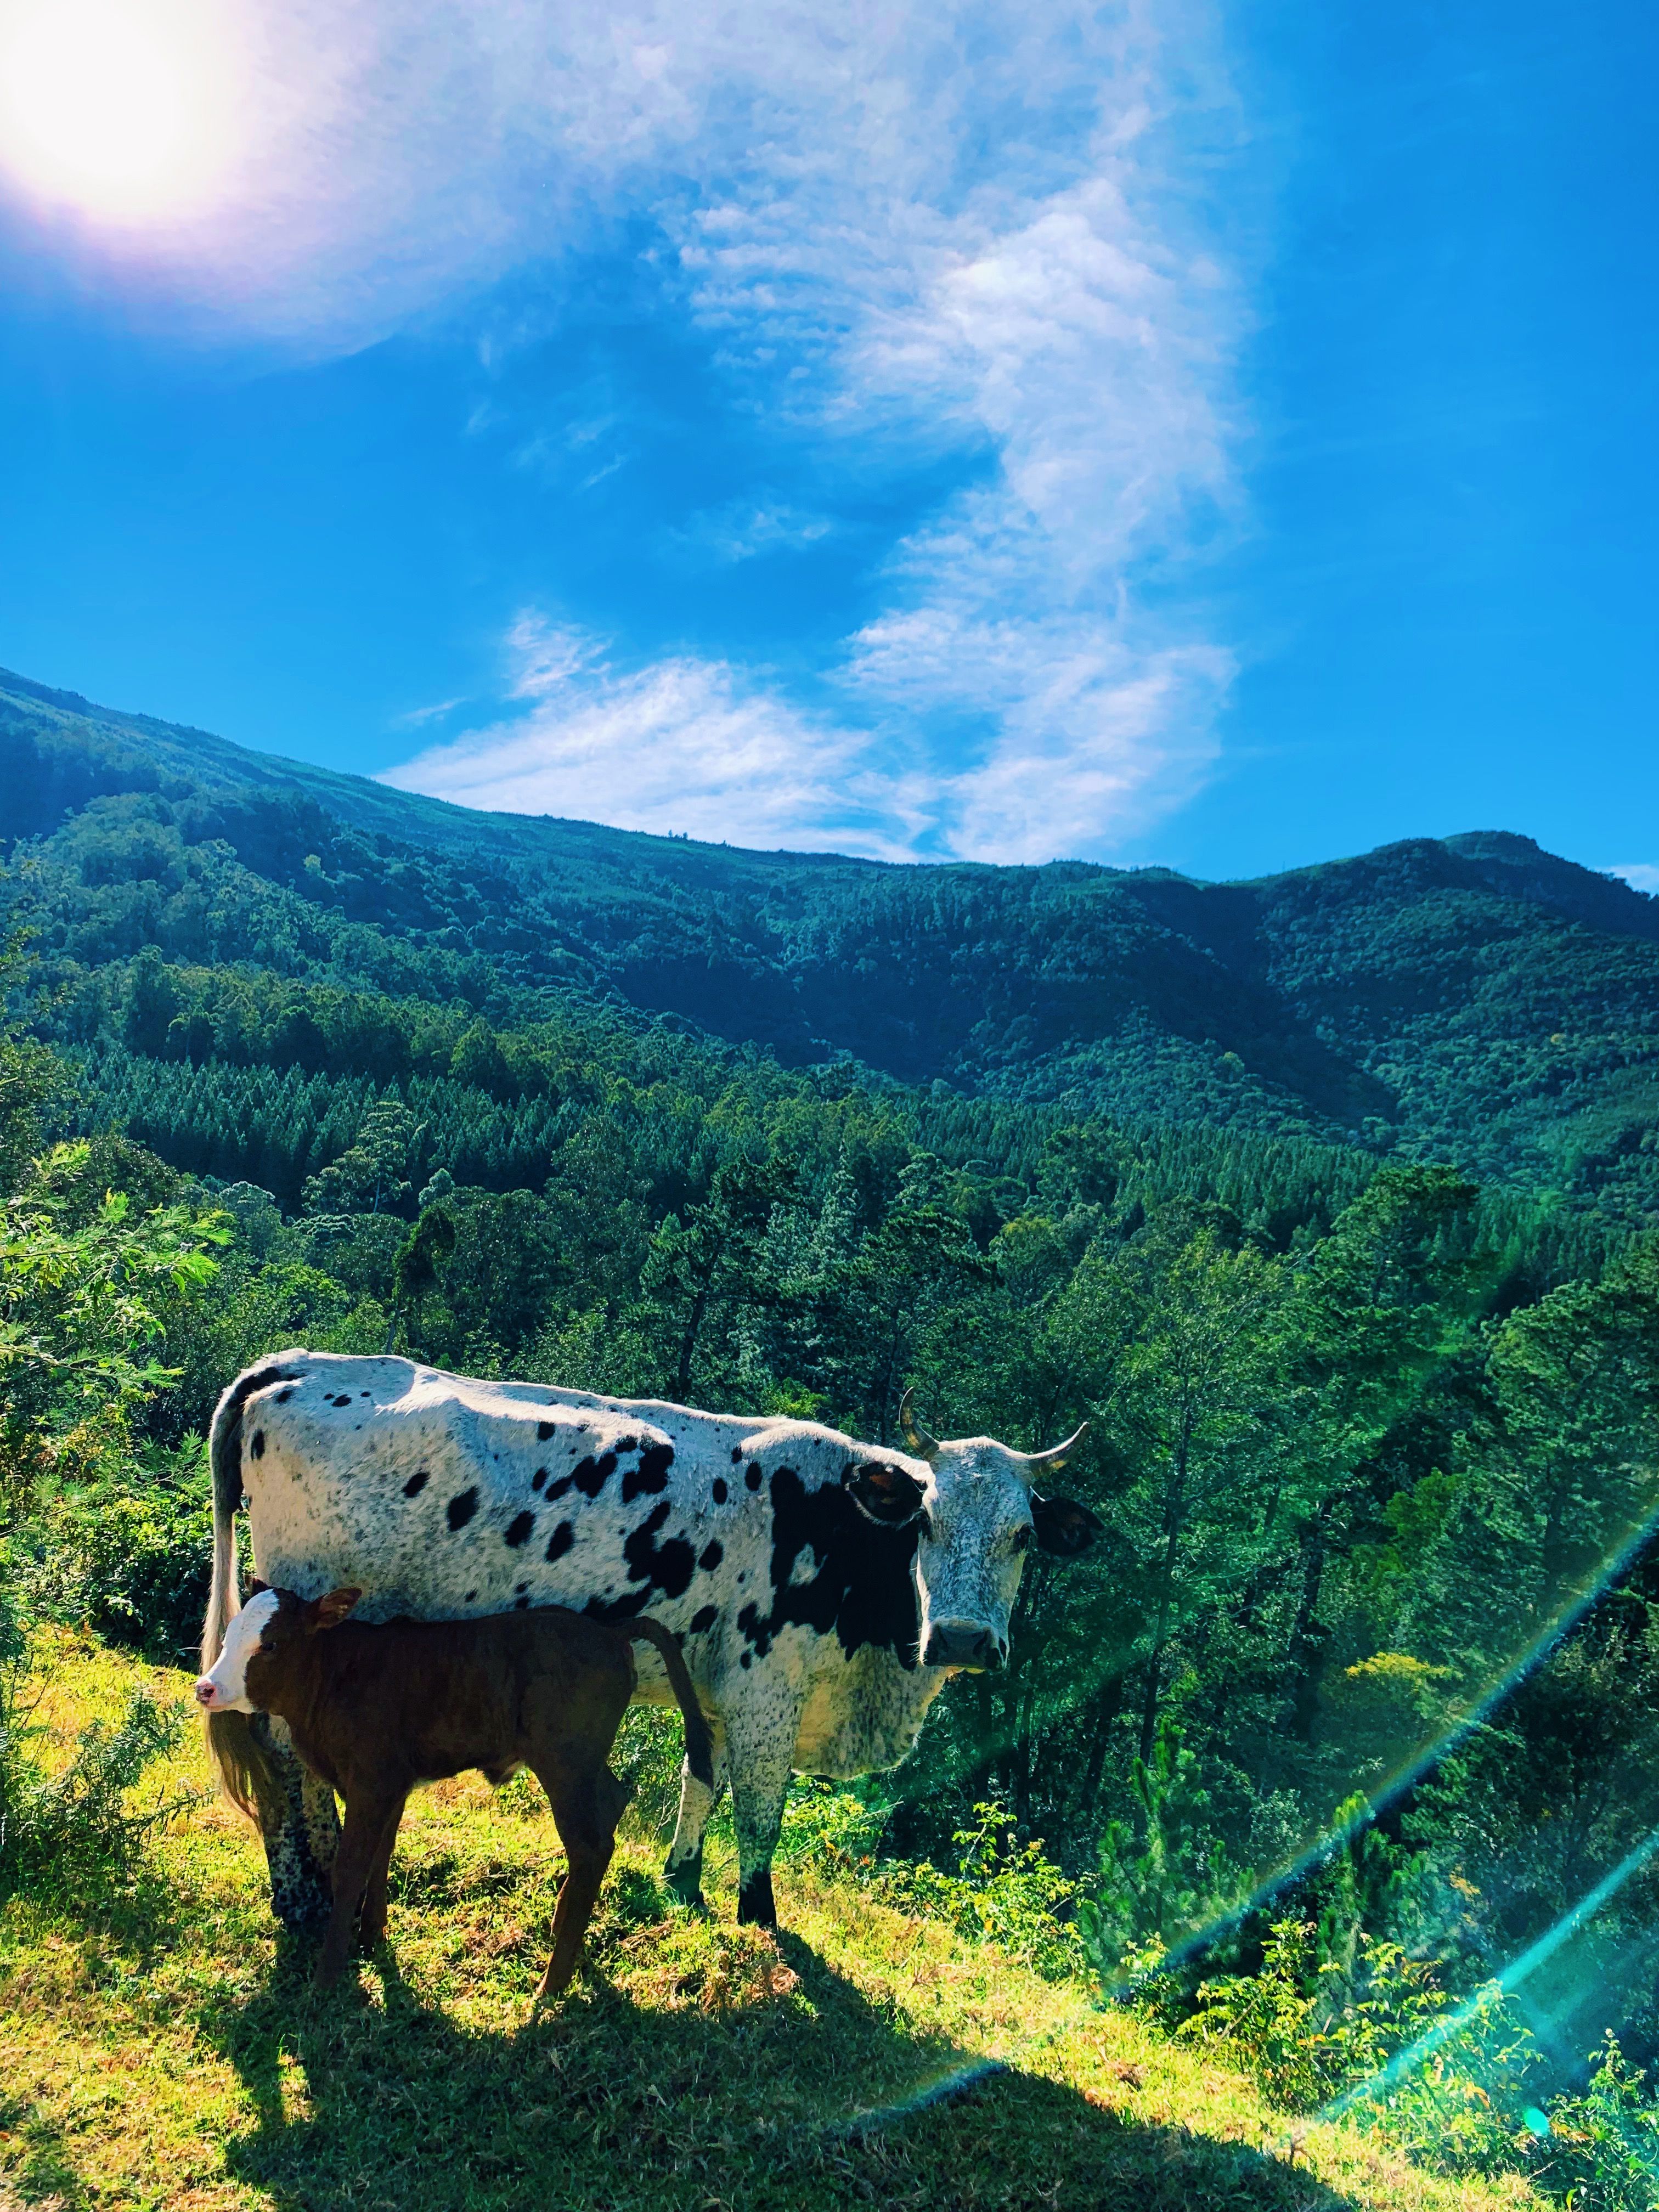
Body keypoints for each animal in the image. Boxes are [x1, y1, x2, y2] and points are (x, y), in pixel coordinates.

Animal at [195, 1586, 713, 1995]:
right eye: (228, 1636)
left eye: (271, 1643)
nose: (206, 1688)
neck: (335, 1678)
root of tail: (608, 1632)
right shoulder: (390, 1784)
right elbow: (381, 1855)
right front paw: (372, 1937)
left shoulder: (370, 1782)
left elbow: (350, 1869)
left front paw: (327, 1978)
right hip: (582, 1764)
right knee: (613, 1802)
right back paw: (565, 1930)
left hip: (565, 1762)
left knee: (591, 1844)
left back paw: (553, 1982)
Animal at [200, 1351, 1102, 1930]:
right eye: (927, 1523)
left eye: (1024, 1536)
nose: (963, 1638)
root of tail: (297, 1364)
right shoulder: (768, 1693)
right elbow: (762, 1816)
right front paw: (758, 1921)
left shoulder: (717, 1690)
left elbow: (701, 1781)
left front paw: (684, 1881)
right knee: (281, 1755)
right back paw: (306, 1893)